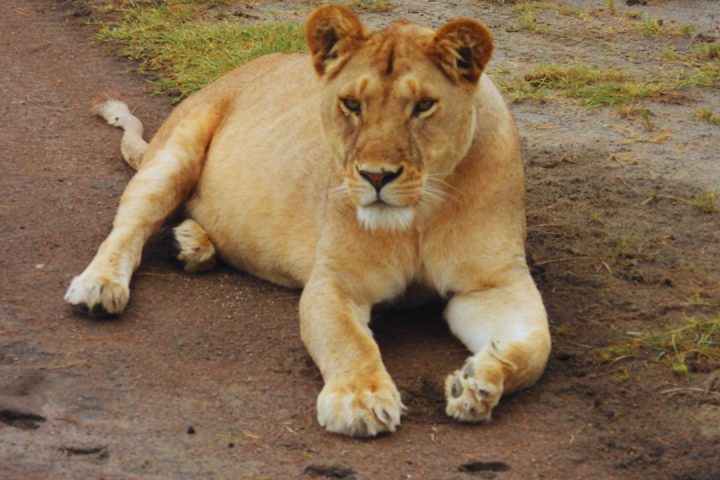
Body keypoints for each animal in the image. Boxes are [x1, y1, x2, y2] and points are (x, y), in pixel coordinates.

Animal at [65, 4, 551, 437]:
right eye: (351, 104)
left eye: (423, 105)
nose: (376, 176)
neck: (419, 215)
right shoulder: (335, 281)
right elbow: (349, 341)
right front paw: (360, 400)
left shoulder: (492, 284)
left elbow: (538, 347)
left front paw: (477, 383)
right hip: (174, 153)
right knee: (128, 227)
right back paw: (101, 286)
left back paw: (192, 244)